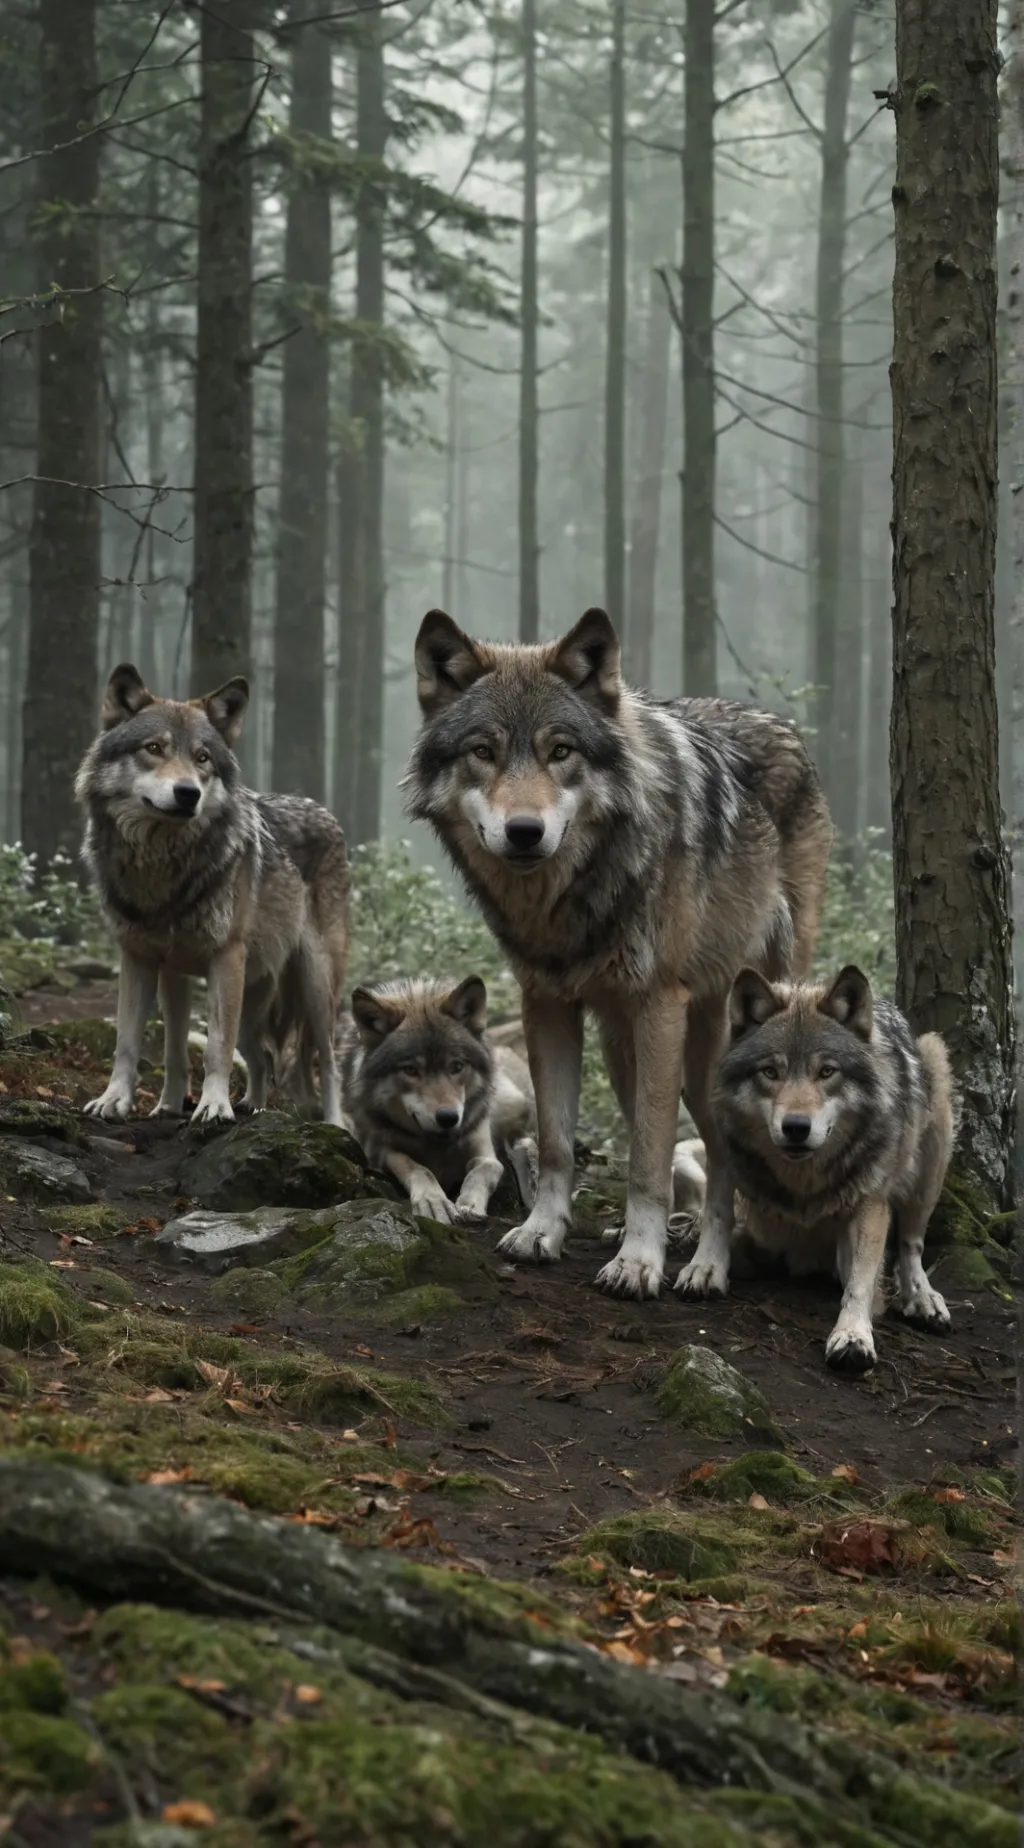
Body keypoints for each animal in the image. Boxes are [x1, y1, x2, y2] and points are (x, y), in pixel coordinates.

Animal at [75, 663, 349, 1127]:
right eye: (154, 748)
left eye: (203, 758)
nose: (189, 793)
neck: (162, 867)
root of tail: (327, 814)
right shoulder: (148, 962)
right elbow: (143, 1045)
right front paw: (134, 1103)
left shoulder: (225, 958)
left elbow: (215, 1049)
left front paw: (214, 1106)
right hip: (255, 1006)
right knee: (263, 1059)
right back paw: (254, 1106)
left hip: (314, 986)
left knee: (327, 1064)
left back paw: (333, 1125)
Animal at [339, 974, 537, 1223]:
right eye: (411, 1070)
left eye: (457, 1066)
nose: (448, 1117)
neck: (438, 1146)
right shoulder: (380, 1150)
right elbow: (418, 1168)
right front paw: (434, 1201)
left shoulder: (482, 1145)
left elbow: (487, 1168)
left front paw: (470, 1204)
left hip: (512, 1102)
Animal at [404, 606, 832, 1298]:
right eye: (483, 752)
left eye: (560, 751)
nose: (525, 832)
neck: (575, 896)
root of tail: (779, 723)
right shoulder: (545, 1002)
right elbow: (557, 1140)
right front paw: (543, 1231)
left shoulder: (660, 1006)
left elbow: (649, 1158)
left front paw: (639, 1261)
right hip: (620, 1043)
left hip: (717, 1038)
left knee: (721, 1152)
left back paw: (709, 1262)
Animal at [712, 964, 956, 1370]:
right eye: (770, 1072)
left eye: (827, 1071)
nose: (796, 1127)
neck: (805, 1186)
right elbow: (725, 1230)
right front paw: (703, 1269)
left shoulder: (871, 1204)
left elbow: (860, 1281)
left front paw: (853, 1336)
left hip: (932, 1136)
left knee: (911, 1243)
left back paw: (923, 1299)